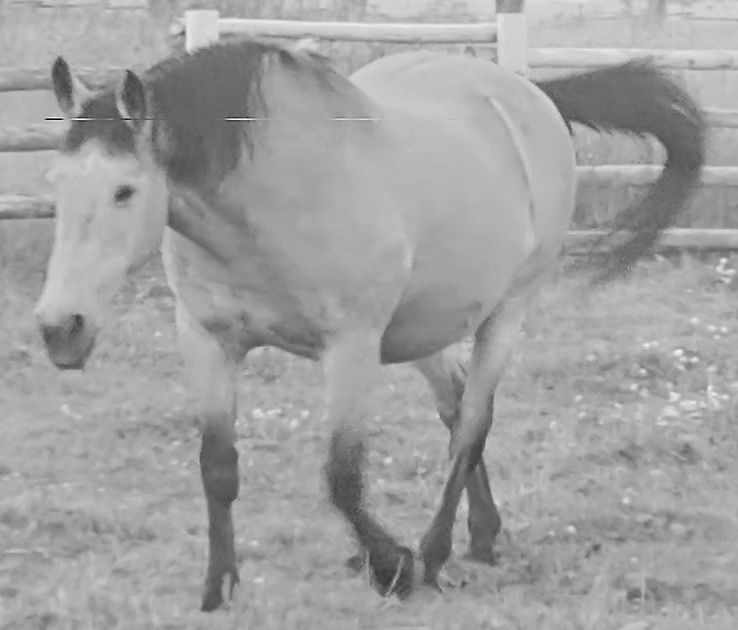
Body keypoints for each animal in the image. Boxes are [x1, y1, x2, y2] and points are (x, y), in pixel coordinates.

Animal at [34, 39, 705, 611]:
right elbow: (217, 468)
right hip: (424, 325)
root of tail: (527, 93)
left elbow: (342, 478)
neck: (269, 197)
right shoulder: (207, 339)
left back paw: (434, 554)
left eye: (124, 190)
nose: (59, 328)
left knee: (471, 426)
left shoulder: (351, 348)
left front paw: (394, 567)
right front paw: (219, 588)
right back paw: (482, 535)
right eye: (57, 183)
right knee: (455, 408)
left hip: (506, 312)